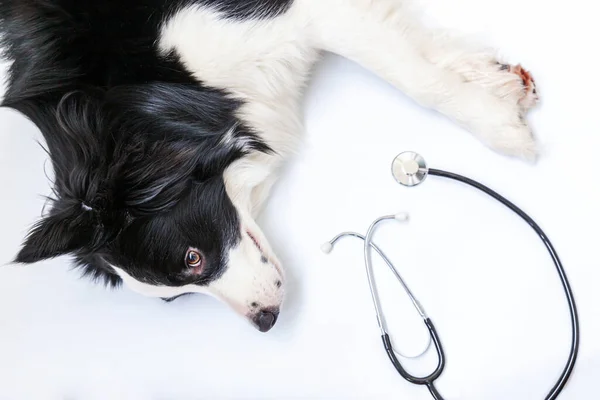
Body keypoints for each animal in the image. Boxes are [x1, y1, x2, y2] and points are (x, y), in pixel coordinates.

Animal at [0, 0, 540, 332]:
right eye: (177, 295)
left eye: (192, 258)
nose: (266, 322)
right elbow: (413, 47)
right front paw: (495, 83)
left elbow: (414, 77)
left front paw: (499, 126)